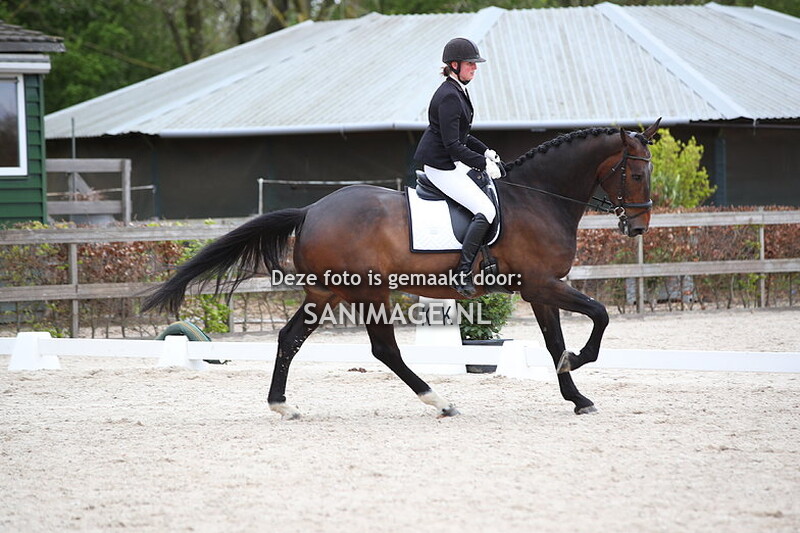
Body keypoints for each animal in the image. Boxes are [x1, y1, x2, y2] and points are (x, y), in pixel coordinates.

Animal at [142, 118, 661, 419]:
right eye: (636, 173)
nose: (637, 227)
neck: (538, 198)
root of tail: (311, 210)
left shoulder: (540, 290)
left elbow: (556, 341)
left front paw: (577, 397)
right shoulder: (542, 285)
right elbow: (599, 316)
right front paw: (579, 362)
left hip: (325, 293)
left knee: (291, 338)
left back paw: (281, 405)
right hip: (369, 292)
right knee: (384, 349)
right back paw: (440, 401)